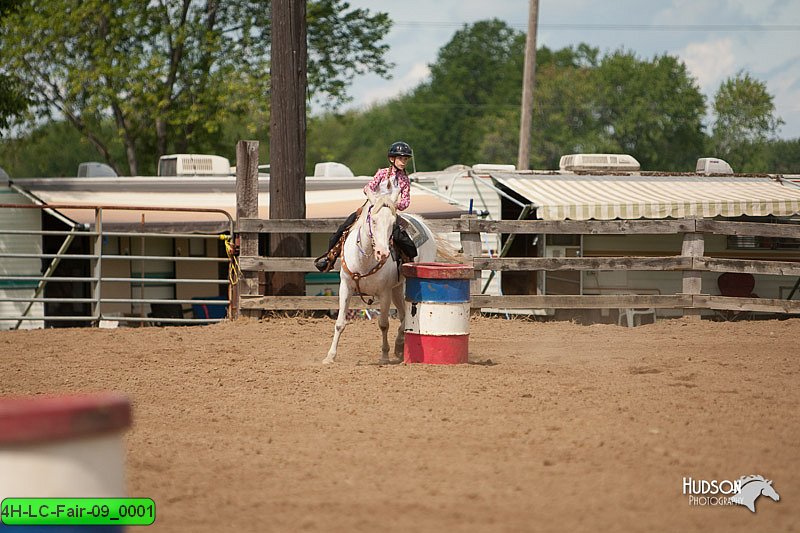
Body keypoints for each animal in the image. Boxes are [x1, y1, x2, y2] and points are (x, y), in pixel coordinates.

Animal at [322, 184, 440, 366]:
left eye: (393, 223)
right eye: (374, 221)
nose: (383, 253)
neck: (364, 260)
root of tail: (421, 222)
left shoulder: (384, 293)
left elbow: (383, 324)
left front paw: (384, 355)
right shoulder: (346, 287)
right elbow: (340, 323)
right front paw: (330, 356)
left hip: (405, 286)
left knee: (406, 316)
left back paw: (398, 345)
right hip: (397, 289)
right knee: (403, 315)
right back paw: (399, 347)